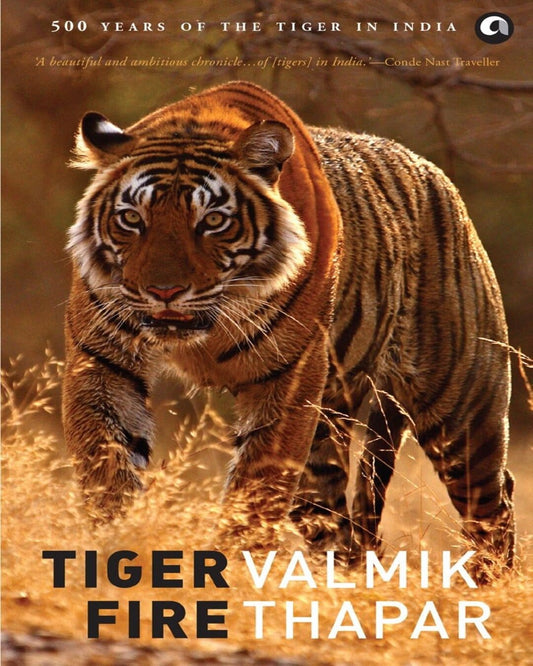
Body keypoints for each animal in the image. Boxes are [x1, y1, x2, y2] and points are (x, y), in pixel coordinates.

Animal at [64, 80, 515, 576]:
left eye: (213, 221)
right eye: (132, 219)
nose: (164, 291)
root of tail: (435, 174)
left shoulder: (288, 378)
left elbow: (255, 488)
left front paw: (230, 568)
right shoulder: (103, 362)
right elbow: (108, 467)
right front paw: (119, 545)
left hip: (461, 408)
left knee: (494, 501)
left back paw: (492, 582)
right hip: (325, 439)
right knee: (343, 527)